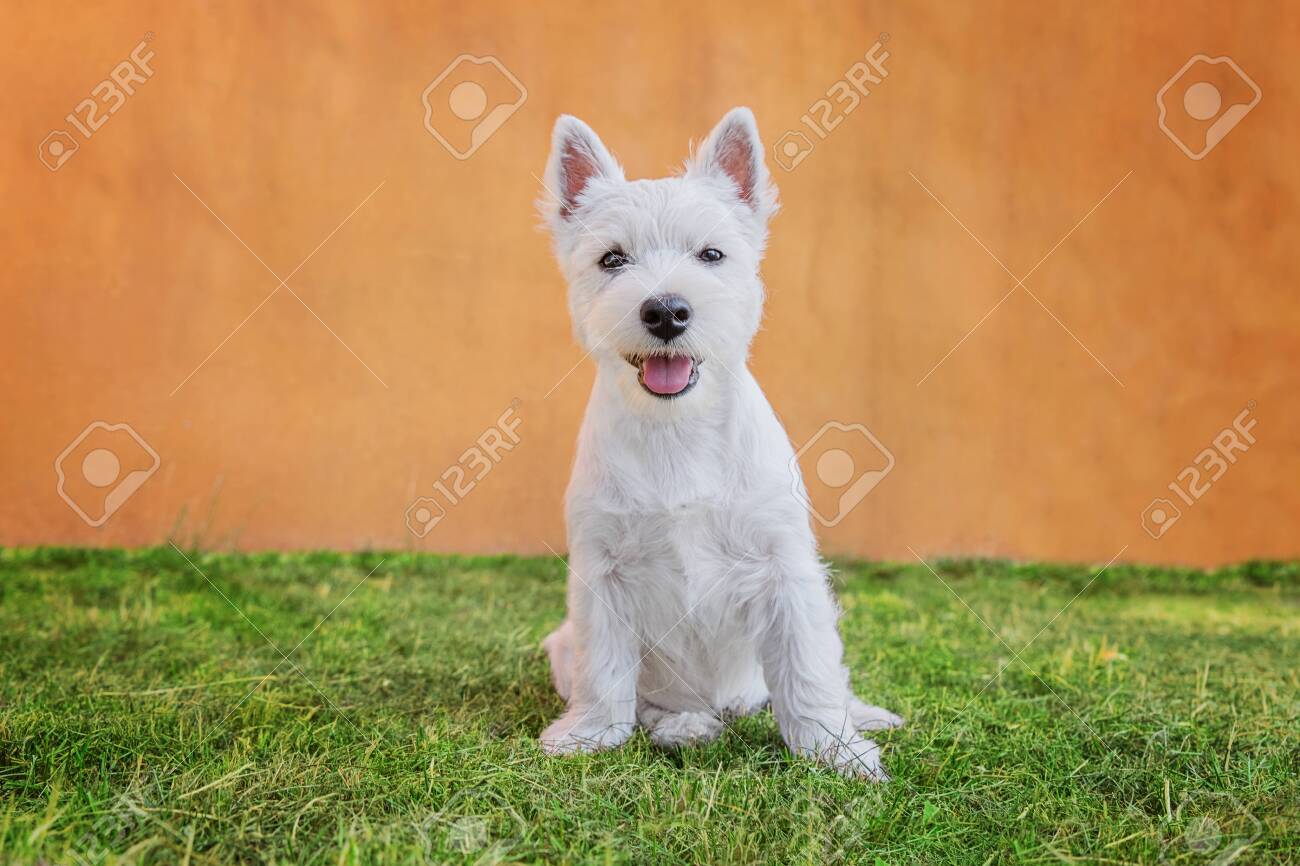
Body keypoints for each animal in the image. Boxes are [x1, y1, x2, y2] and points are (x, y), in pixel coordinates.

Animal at [538, 105, 904, 774]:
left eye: (711, 253)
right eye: (612, 259)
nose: (666, 311)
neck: (677, 429)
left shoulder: (785, 567)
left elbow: (809, 669)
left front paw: (835, 750)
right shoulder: (604, 575)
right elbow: (605, 673)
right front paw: (588, 735)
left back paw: (861, 715)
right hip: (564, 644)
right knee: (649, 700)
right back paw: (684, 725)